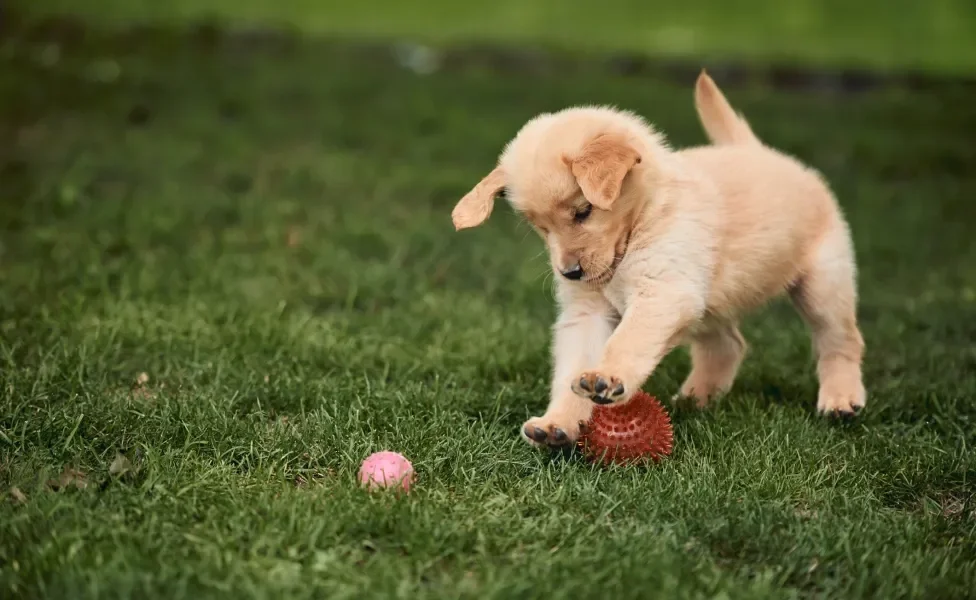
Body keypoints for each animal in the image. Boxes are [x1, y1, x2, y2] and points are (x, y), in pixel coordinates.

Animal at [454, 70, 864, 448]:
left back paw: (840, 400)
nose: (570, 273)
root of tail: (760, 152)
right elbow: (573, 364)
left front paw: (608, 376)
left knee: (840, 341)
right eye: (539, 227)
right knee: (728, 345)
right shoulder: (589, 311)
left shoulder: (662, 291)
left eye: (584, 211)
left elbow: (627, 340)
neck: (643, 218)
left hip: (822, 283)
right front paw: (558, 423)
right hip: (709, 303)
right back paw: (697, 399)